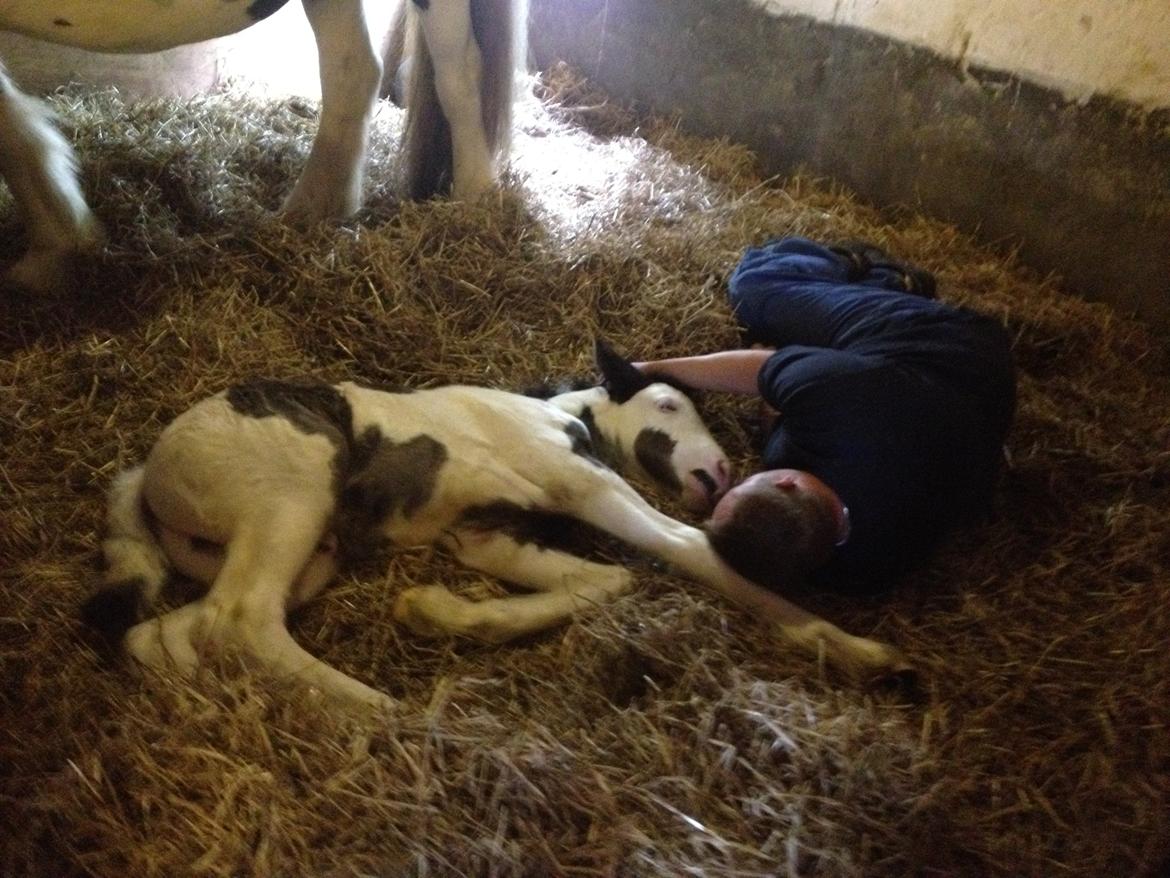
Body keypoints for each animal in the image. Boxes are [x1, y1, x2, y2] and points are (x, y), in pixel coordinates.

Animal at [84, 339, 912, 711]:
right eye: (671, 404)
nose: (717, 474)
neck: (558, 418)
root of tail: (149, 472)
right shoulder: (586, 486)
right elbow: (694, 553)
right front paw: (866, 653)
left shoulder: (491, 536)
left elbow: (607, 582)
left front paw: (438, 609)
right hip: (291, 493)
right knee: (245, 617)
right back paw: (383, 711)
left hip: (300, 550)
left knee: (177, 628)